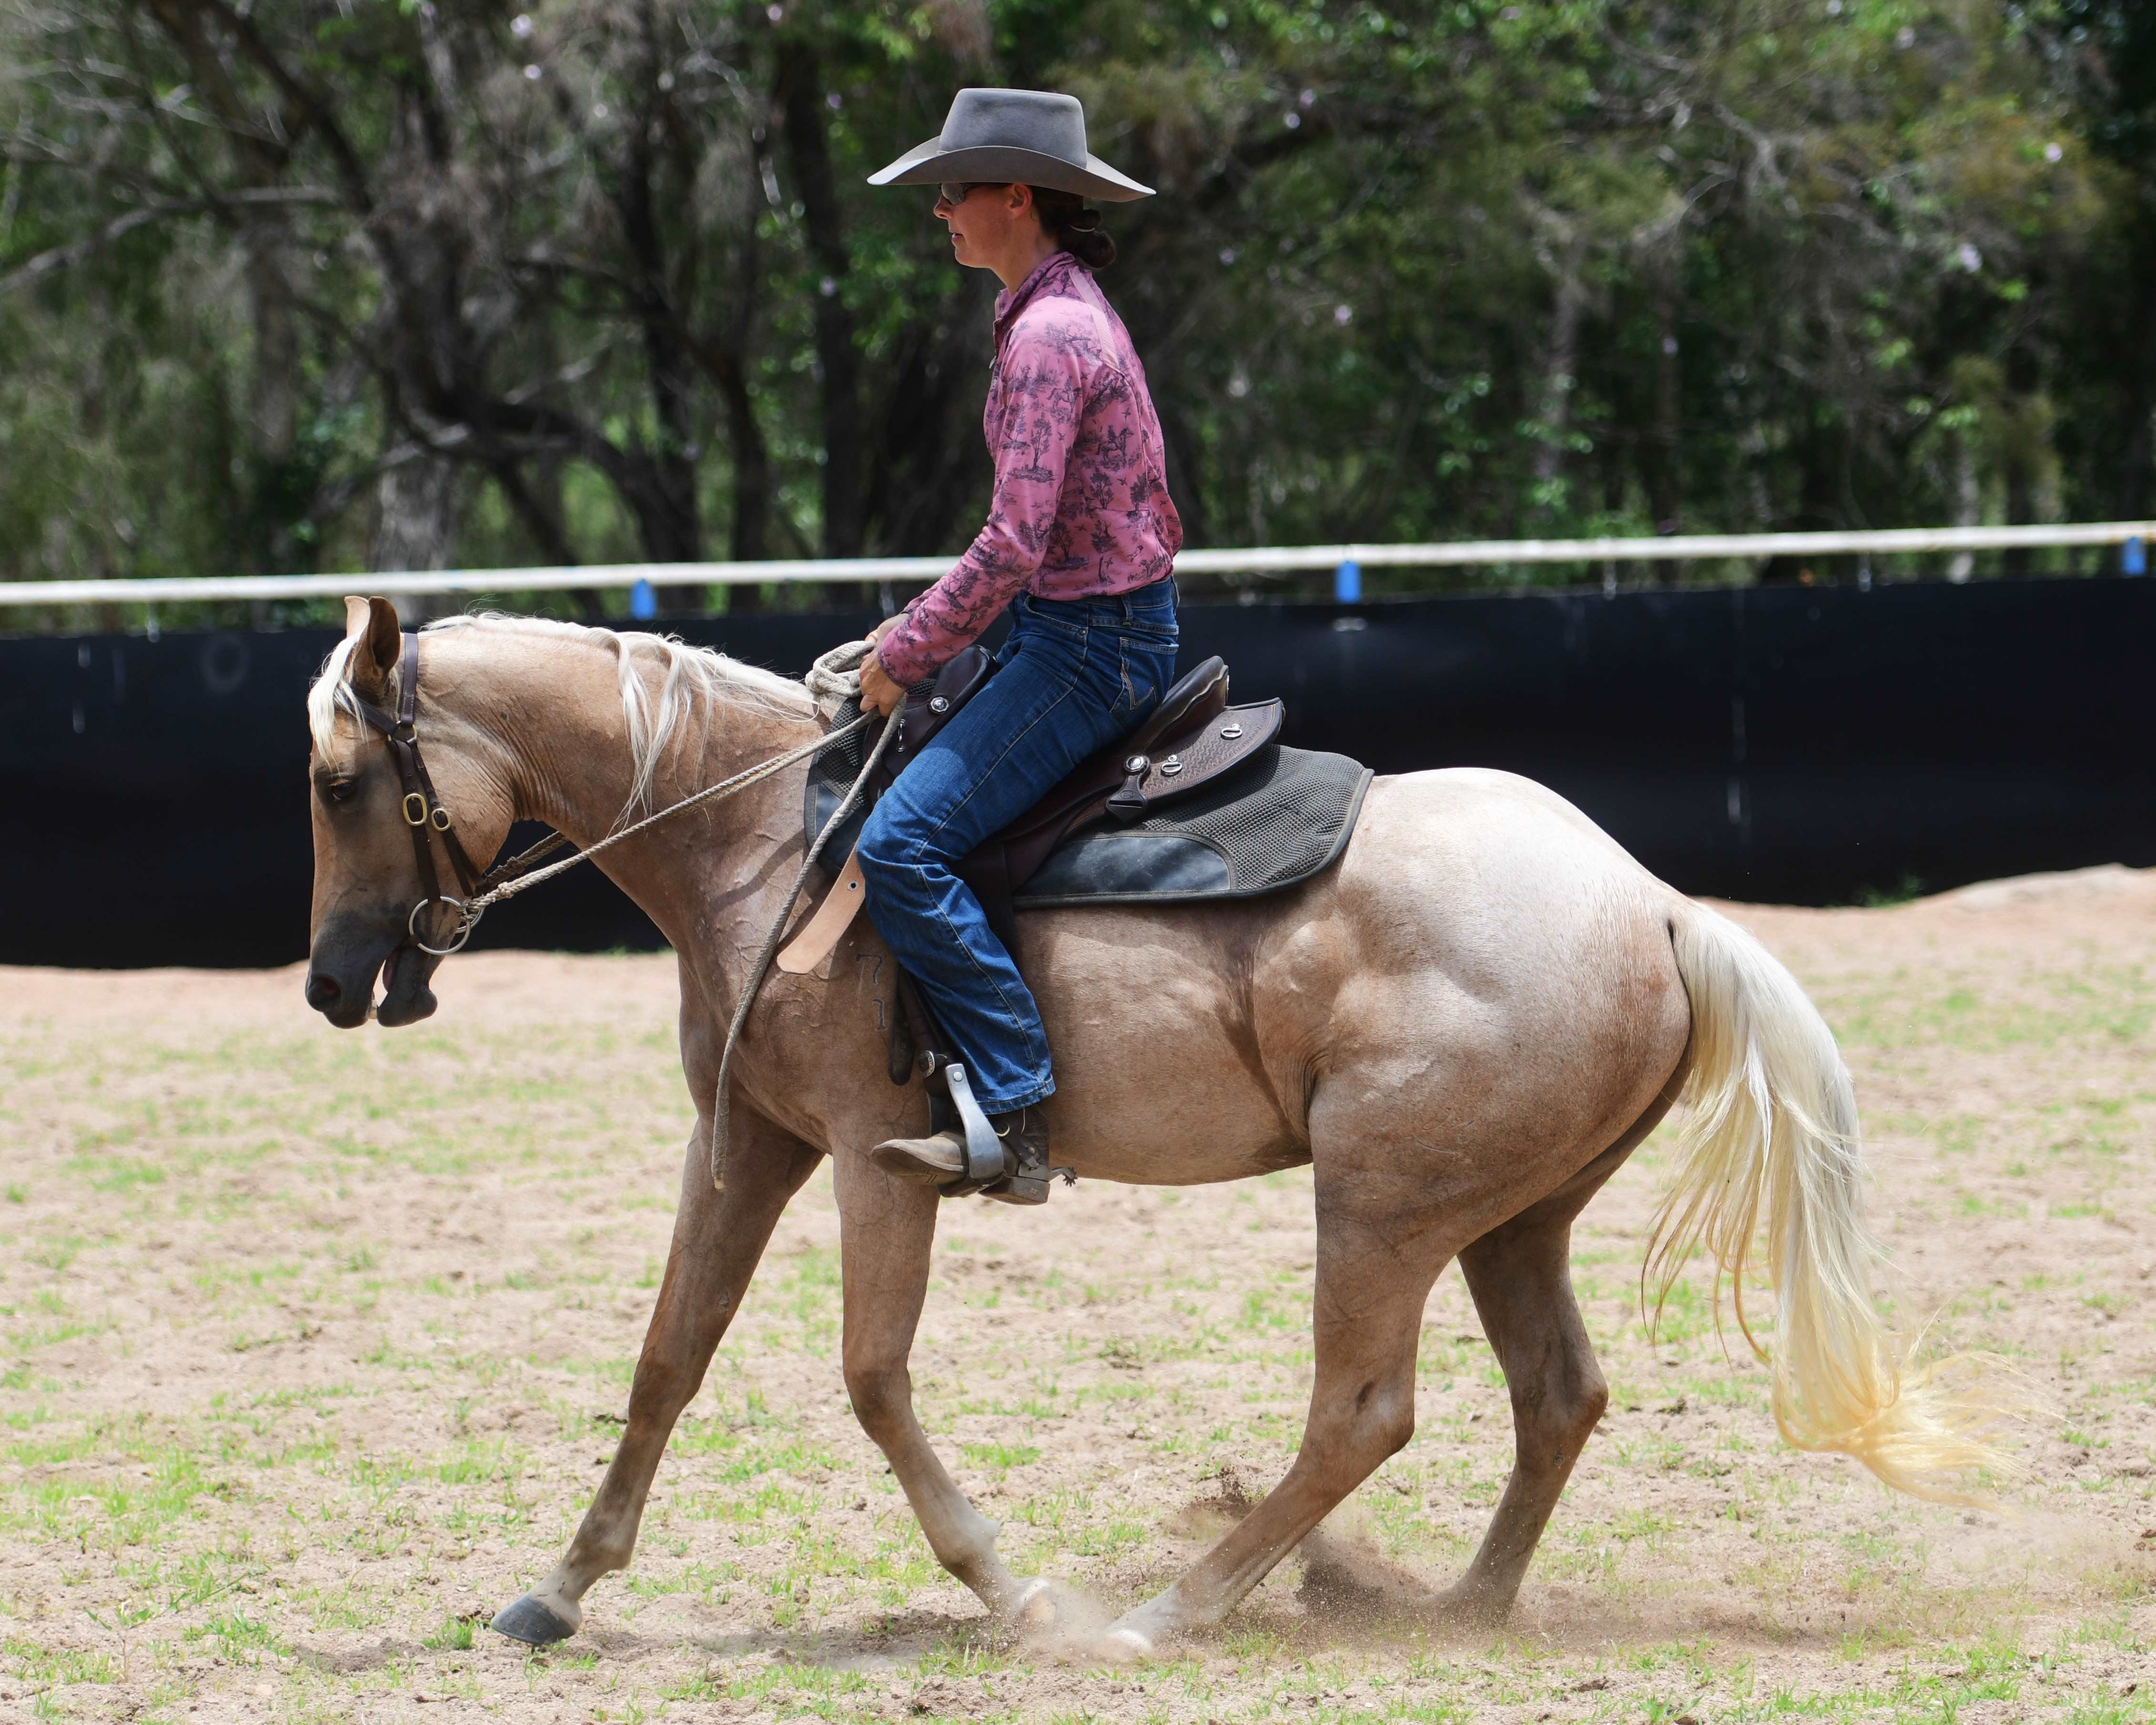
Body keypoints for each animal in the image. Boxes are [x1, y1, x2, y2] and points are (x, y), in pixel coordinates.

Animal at [302, 597, 2004, 1656]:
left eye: (331, 780)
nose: (327, 981)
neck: (760, 841)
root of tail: (1652, 900)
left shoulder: (868, 1157)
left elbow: (869, 1376)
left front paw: (1012, 1590)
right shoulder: (747, 1142)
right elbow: (668, 1356)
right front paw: (555, 1591)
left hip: (1377, 1209)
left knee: (1362, 1414)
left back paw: (1172, 1612)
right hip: (1510, 1217)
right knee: (1558, 1396)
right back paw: (1459, 1607)